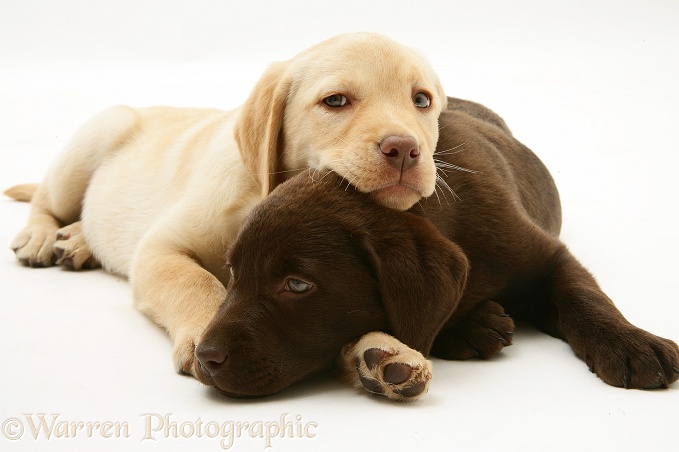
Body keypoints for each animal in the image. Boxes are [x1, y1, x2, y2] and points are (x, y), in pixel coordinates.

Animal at [7, 32, 448, 378]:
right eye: (335, 101)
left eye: (421, 100)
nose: (405, 149)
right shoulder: (159, 248)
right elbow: (197, 281)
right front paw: (206, 333)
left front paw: (386, 352)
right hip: (94, 140)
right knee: (48, 199)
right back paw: (41, 236)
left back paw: (77, 241)